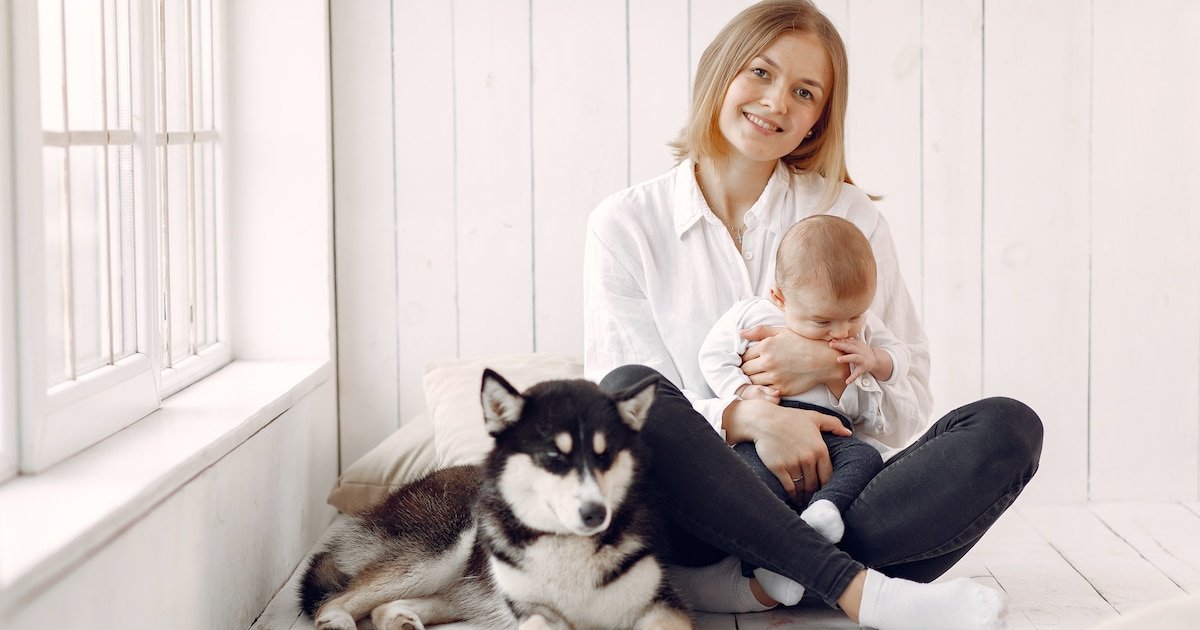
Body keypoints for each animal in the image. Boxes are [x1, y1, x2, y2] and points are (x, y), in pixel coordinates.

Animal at [298, 368, 693, 630]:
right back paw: (338, 620)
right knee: (337, 598)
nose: (595, 514)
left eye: (604, 455)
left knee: (391, 606)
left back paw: (400, 620)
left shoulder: (662, 605)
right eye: (553, 456)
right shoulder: (533, 610)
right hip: (440, 552)